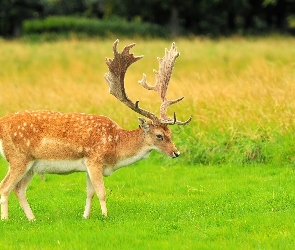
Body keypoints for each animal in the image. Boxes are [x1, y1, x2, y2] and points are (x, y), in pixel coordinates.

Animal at [0, 39, 192, 221]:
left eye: (170, 133)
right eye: (159, 135)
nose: (176, 153)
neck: (115, 147)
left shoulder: (89, 166)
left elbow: (90, 192)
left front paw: (85, 216)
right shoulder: (94, 159)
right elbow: (102, 192)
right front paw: (105, 216)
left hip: (31, 166)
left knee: (19, 189)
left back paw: (32, 219)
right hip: (18, 158)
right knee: (5, 186)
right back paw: (6, 219)